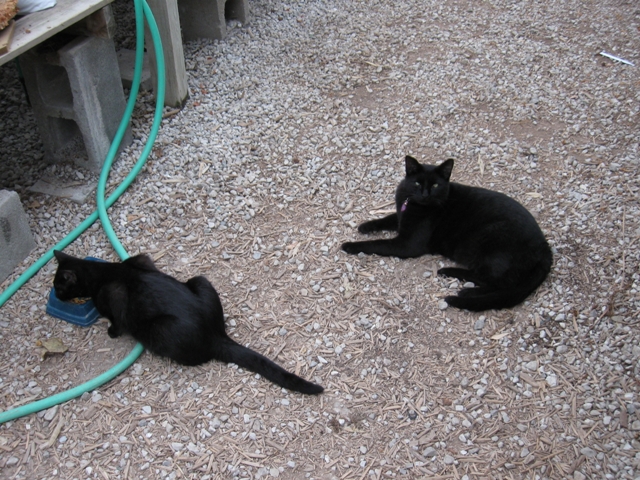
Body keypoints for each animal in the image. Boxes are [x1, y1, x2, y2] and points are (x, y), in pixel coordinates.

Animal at [52, 251, 322, 394]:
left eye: (58, 286)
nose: (55, 294)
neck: (105, 272)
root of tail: (216, 335)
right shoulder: (141, 258)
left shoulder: (113, 294)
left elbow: (116, 320)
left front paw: (110, 331)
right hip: (200, 279)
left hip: (161, 329)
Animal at [342, 155, 552, 312]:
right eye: (417, 183)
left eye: (435, 186)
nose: (425, 194)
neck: (416, 205)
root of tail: (545, 248)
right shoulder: (402, 216)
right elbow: (387, 219)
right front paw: (365, 226)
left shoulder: (407, 244)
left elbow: (376, 244)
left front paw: (349, 245)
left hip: (488, 238)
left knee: (498, 282)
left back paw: (460, 286)